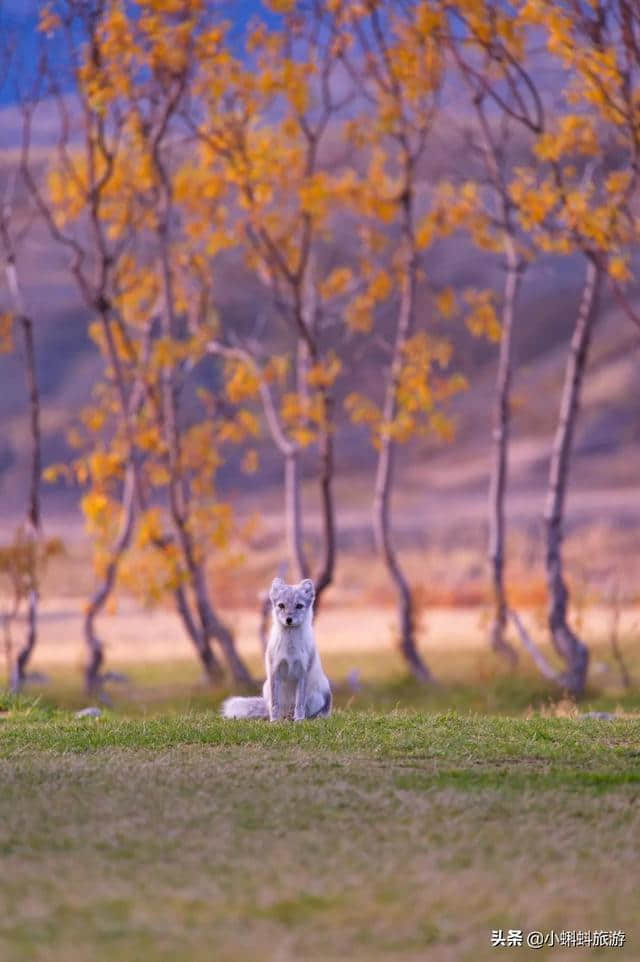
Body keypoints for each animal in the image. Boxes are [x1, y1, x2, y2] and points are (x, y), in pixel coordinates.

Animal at [221, 576, 332, 720]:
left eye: (299, 606)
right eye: (281, 605)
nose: (289, 619)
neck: (290, 649)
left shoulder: (303, 672)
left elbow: (300, 703)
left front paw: (299, 720)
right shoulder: (274, 671)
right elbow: (275, 704)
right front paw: (274, 721)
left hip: (318, 695)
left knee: (310, 711)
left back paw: (308, 717)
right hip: (267, 688)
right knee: (278, 709)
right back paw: (284, 718)